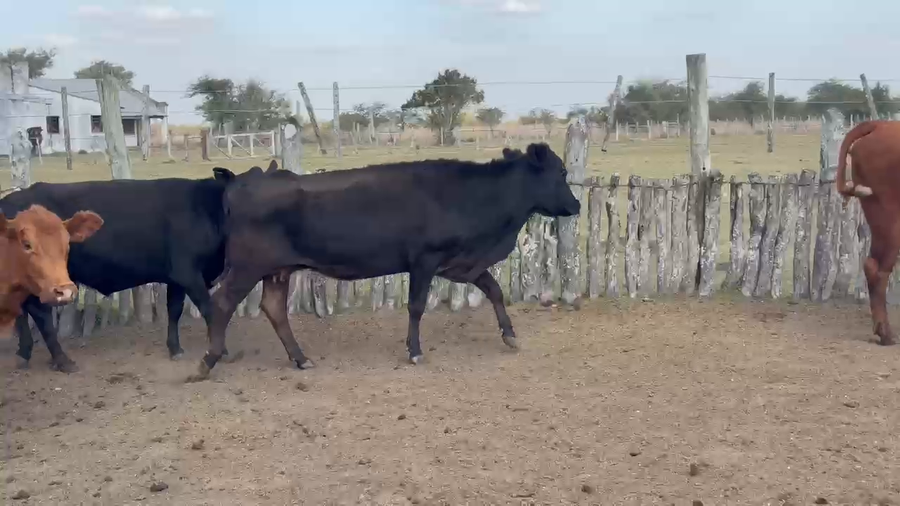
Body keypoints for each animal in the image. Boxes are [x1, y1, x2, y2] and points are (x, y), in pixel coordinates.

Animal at [188, 142, 581, 381]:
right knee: (221, 303)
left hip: (276, 270)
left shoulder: (461, 262)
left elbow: (494, 289)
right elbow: (417, 306)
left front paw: (510, 335)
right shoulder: (424, 259)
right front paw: (415, 352)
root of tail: (241, 184)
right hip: (246, 266)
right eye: (561, 172)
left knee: (273, 308)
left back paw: (300, 358)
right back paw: (207, 361)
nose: (576, 205)